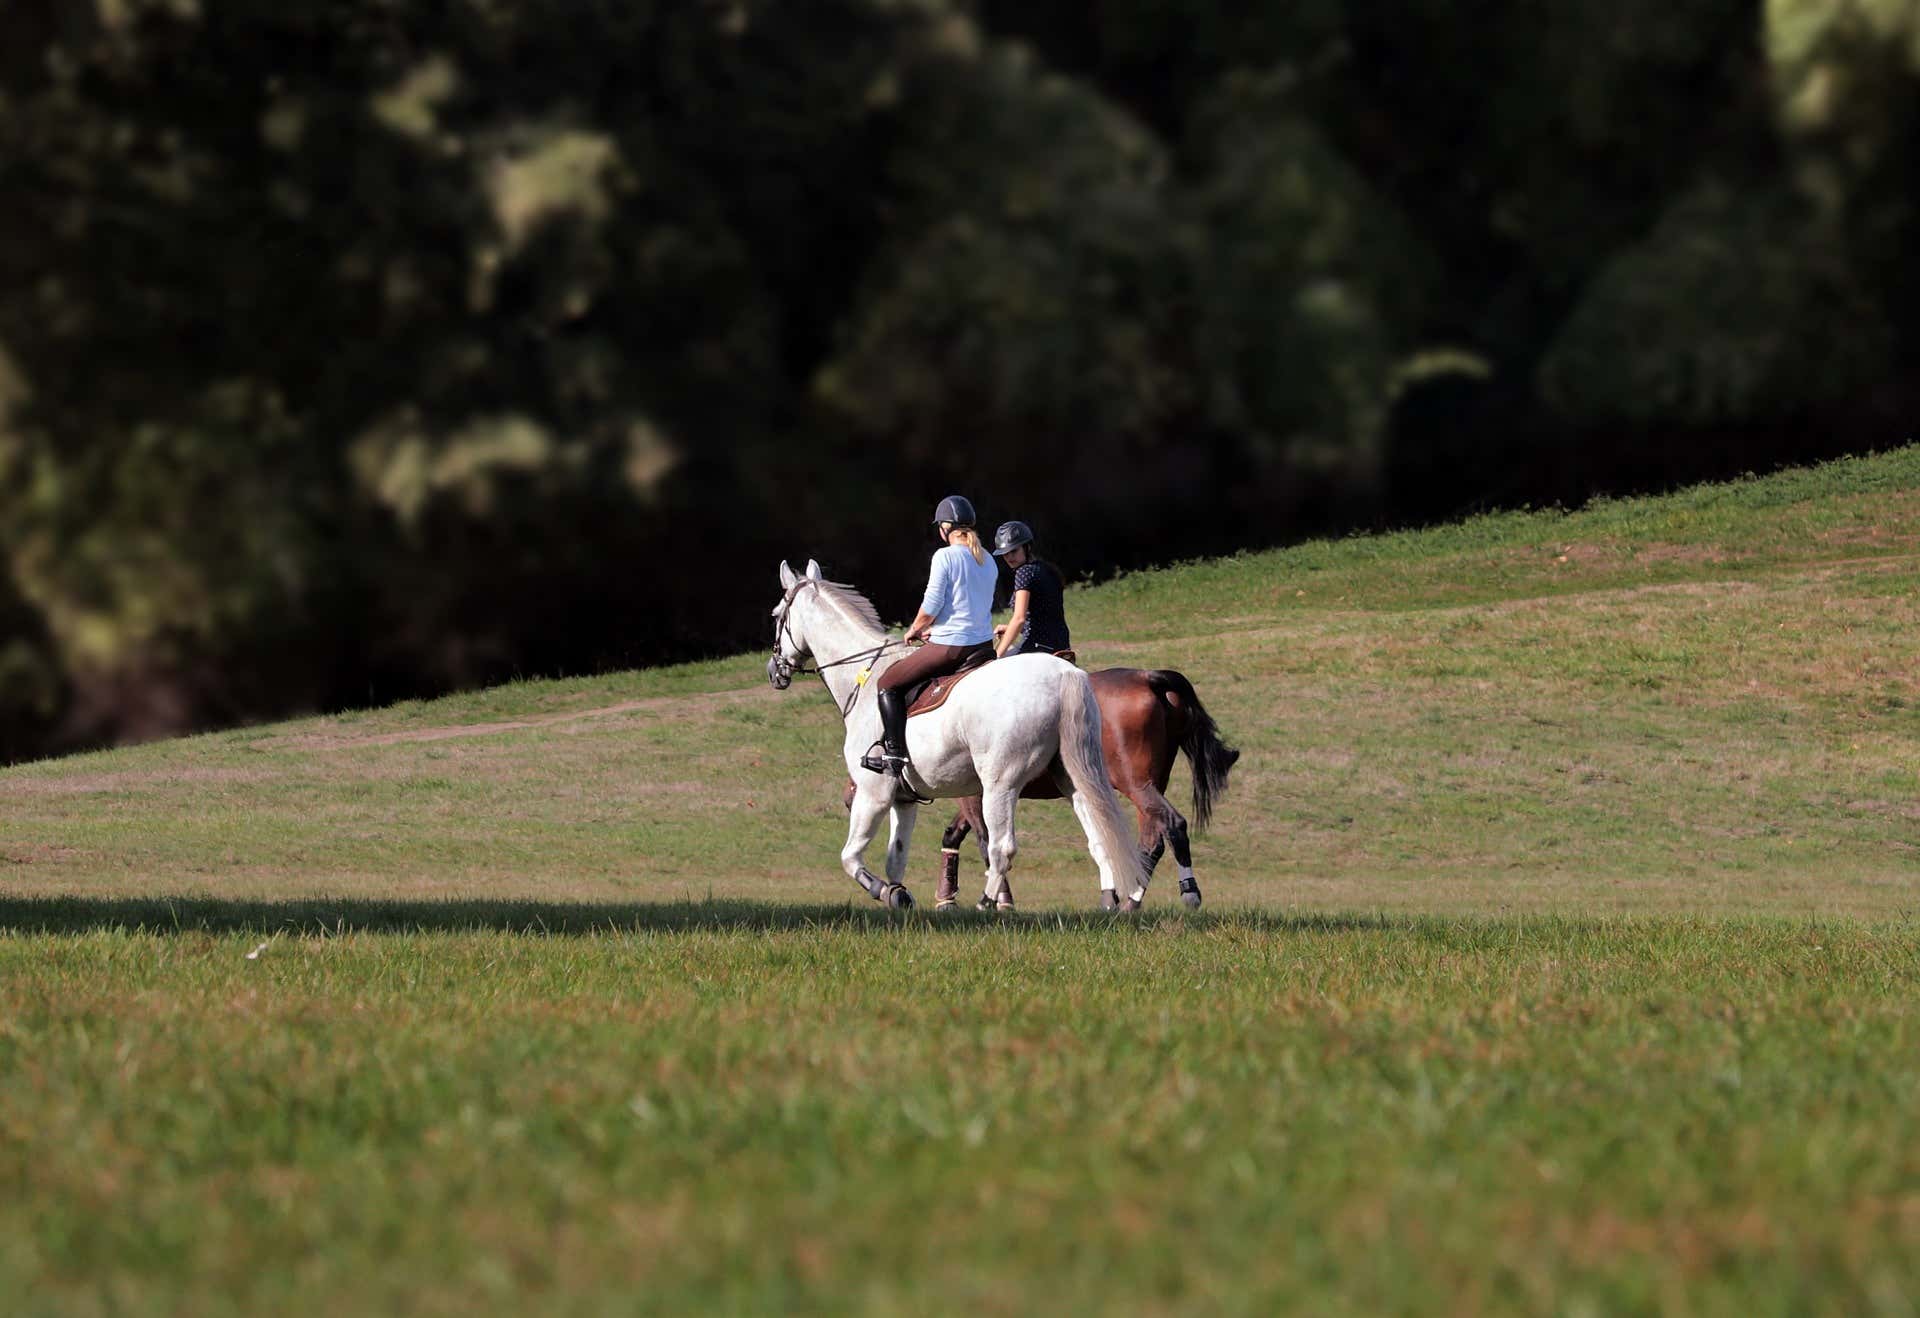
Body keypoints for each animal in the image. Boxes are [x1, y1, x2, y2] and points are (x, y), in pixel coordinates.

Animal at [768, 559, 1149, 910]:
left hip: (999, 785)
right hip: (1071, 778)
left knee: (1001, 846)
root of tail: (1063, 674)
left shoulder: (873, 792)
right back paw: (1110, 901)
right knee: (1099, 835)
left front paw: (882, 891)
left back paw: (986, 904)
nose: (774, 671)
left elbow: (850, 857)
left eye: (776, 615)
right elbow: (896, 858)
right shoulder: (904, 799)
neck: (863, 676)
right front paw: (898, 895)